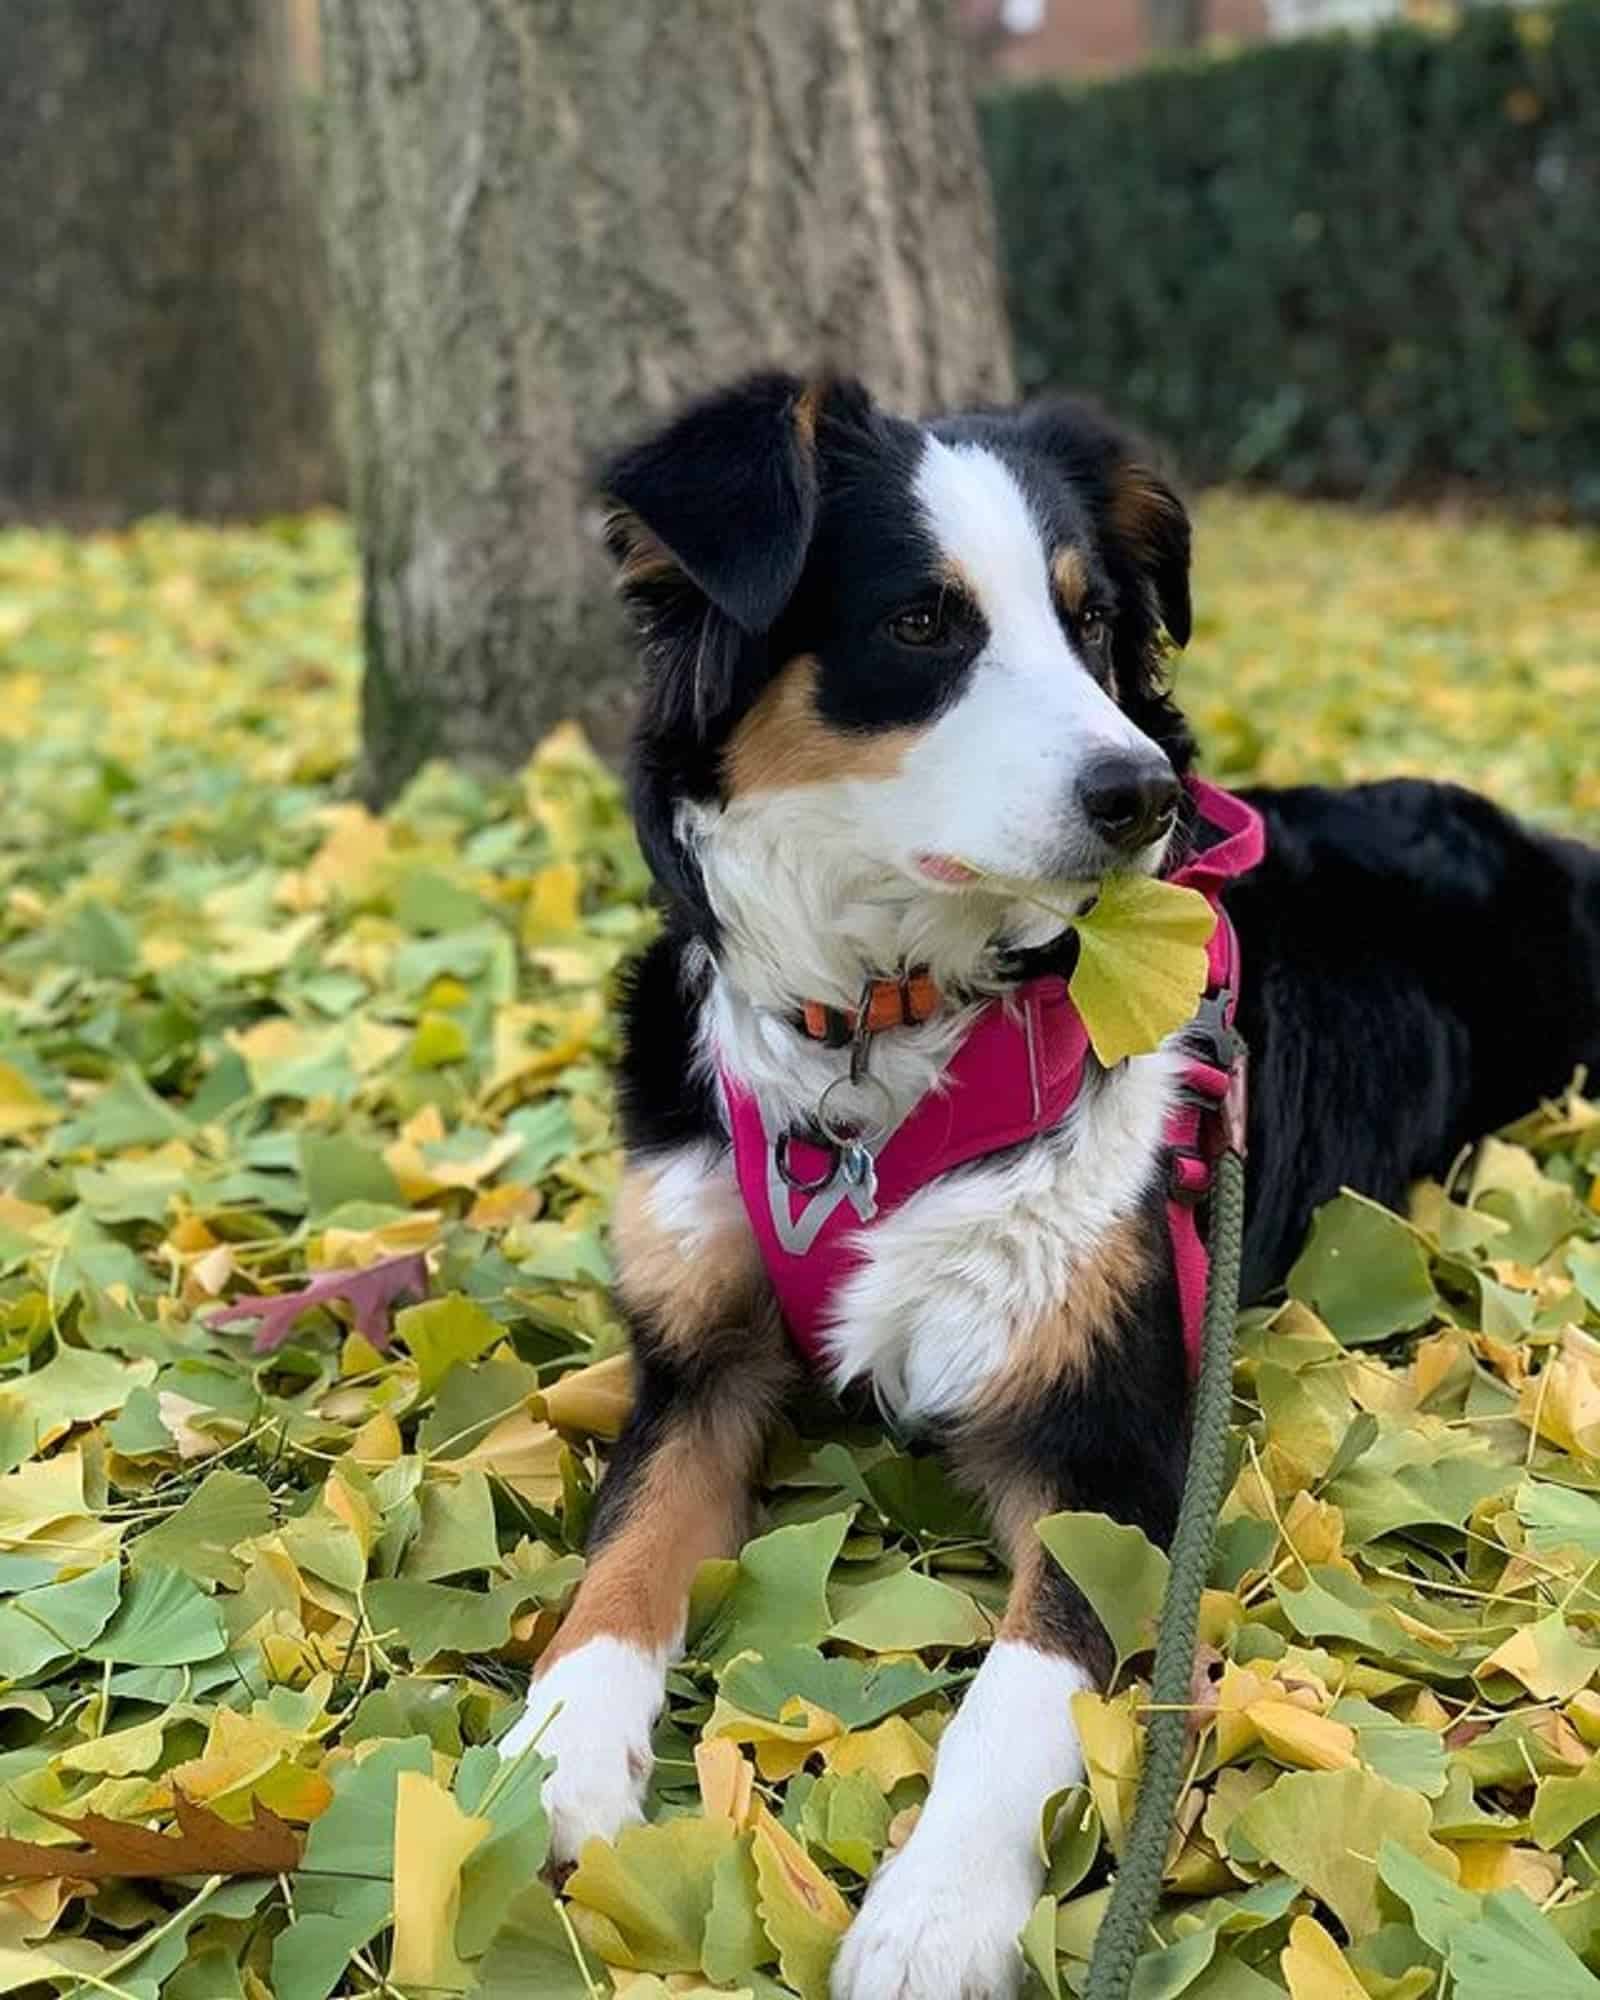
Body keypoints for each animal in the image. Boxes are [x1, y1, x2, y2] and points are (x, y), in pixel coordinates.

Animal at [504, 376, 1600, 2000]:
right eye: (920, 623)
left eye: (1090, 623)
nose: (1138, 793)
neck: (884, 1037)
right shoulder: (693, 1358)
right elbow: (620, 1560)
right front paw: (551, 1759)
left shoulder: (1120, 1444)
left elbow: (1023, 1690)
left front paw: (935, 1912)